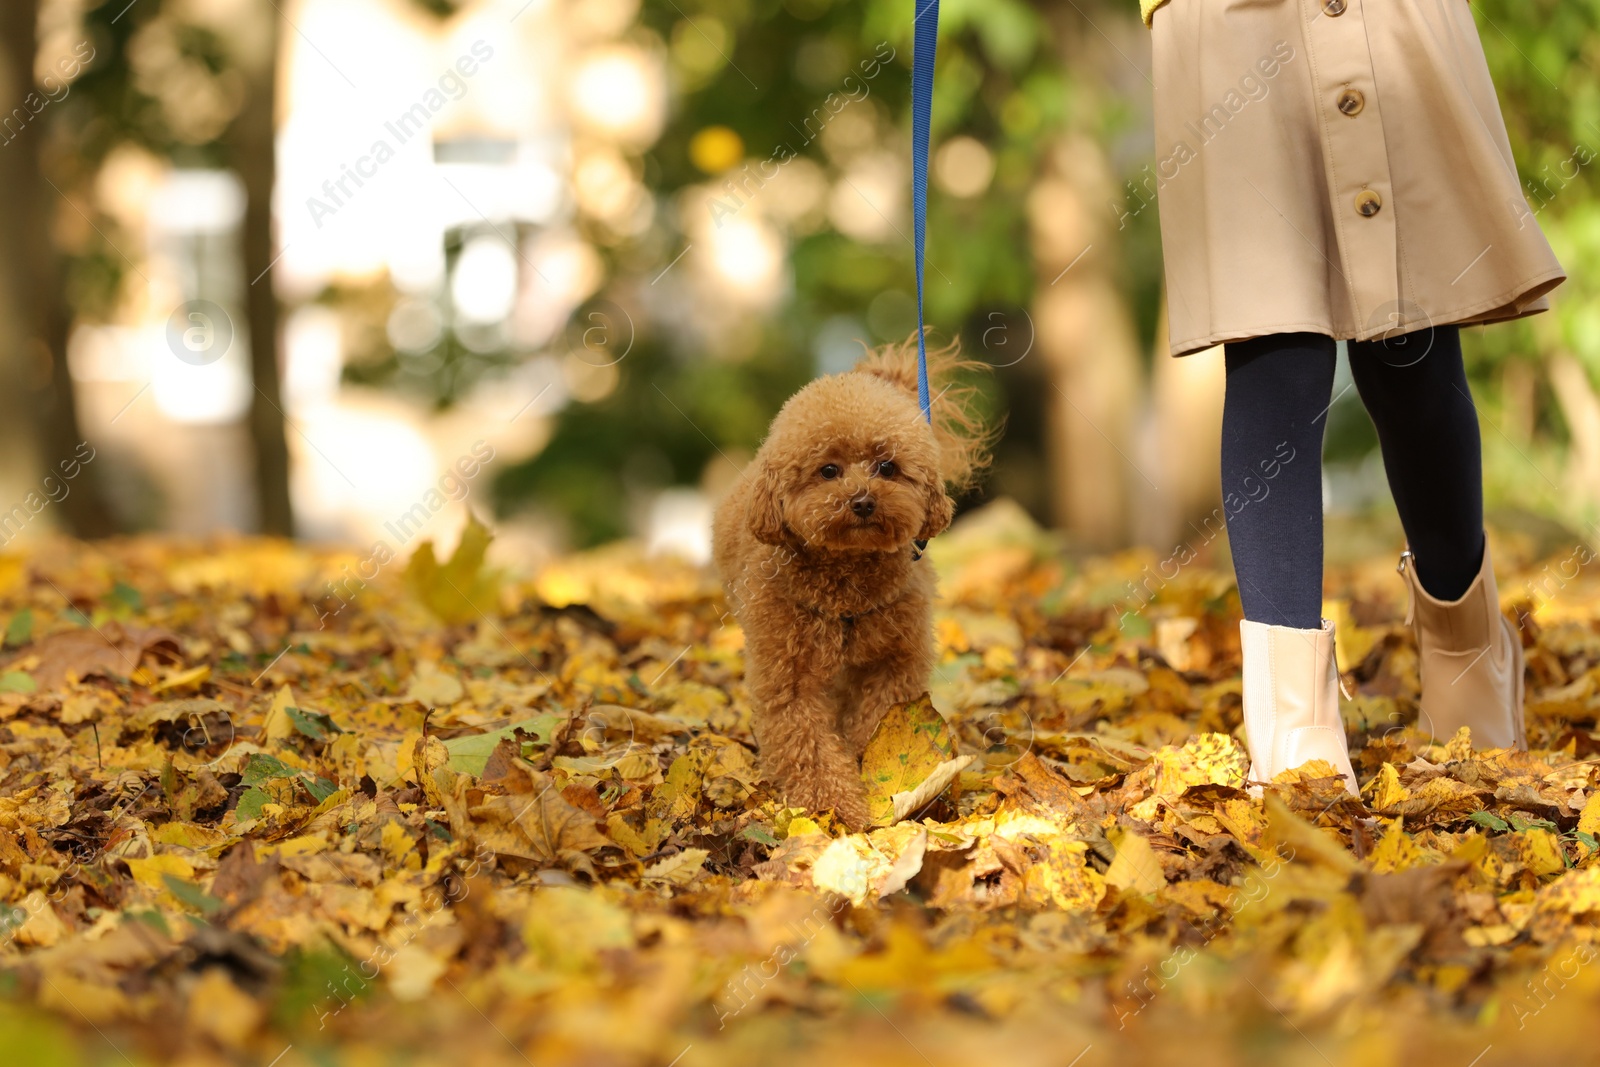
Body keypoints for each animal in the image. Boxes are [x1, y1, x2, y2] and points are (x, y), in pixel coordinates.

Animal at [713, 337, 985, 831]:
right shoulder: (788, 674)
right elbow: (808, 745)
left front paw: (867, 773)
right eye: (828, 470)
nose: (862, 501)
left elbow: (875, 724)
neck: (846, 585)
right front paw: (836, 809)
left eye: (887, 467)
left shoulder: (894, 664)